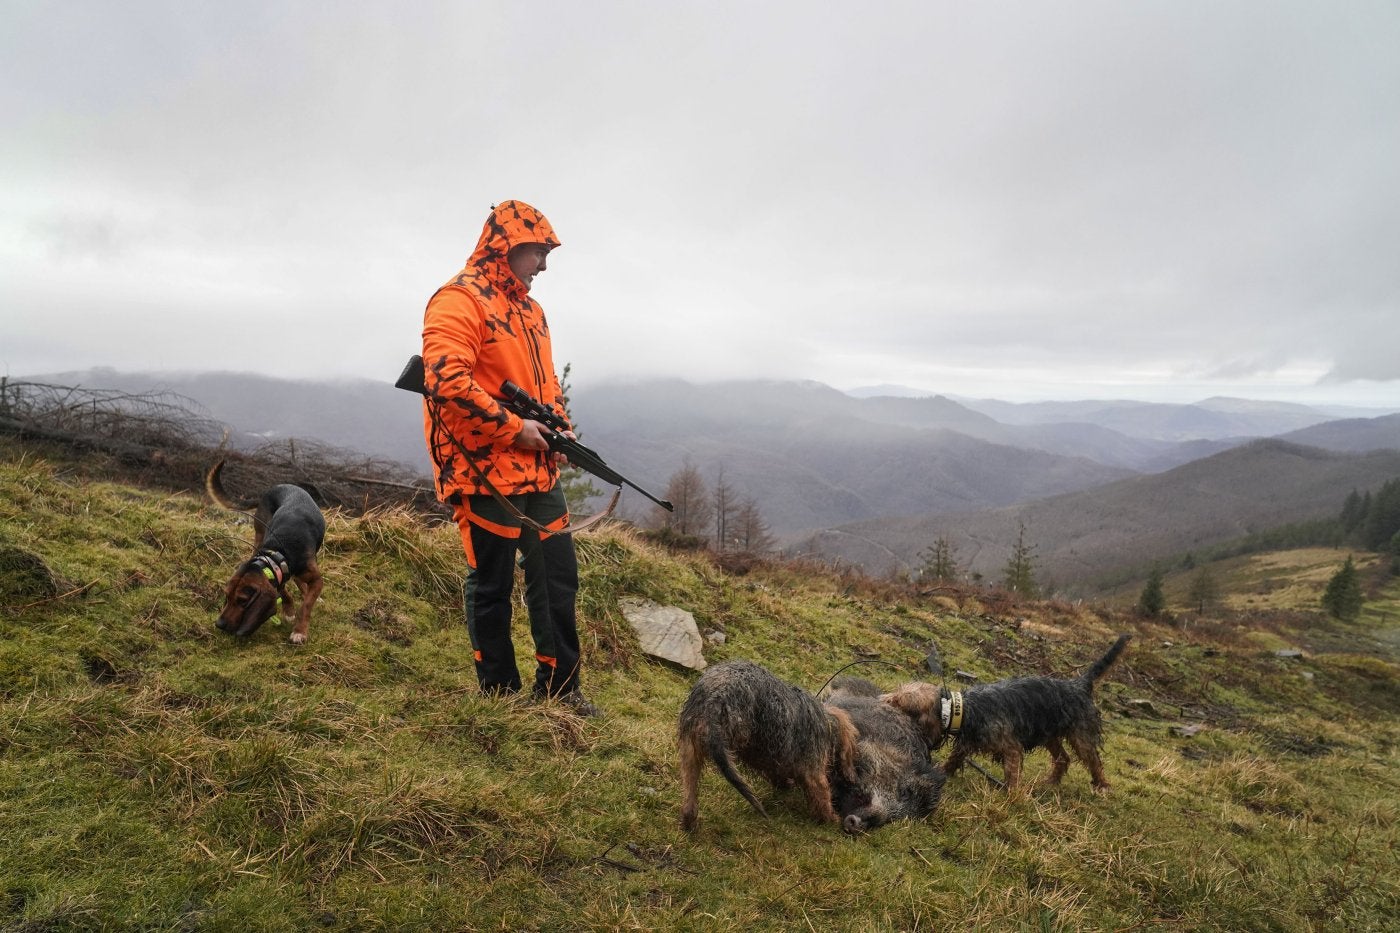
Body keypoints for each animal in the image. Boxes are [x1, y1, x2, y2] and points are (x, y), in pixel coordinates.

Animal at [680, 652, 862, 829]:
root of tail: (715, 699)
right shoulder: (814, 773)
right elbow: (822, 796)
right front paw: (830, 818)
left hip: (690, 751)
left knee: (690, 796)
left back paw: (689, 821)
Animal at [884, 633, 1136, 790]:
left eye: (898, 701)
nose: (881, 701)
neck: (961, 710)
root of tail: (1079, 684)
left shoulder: (1011, 748)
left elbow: (1012, 774)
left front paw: (1013, 797)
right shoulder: (966, 744)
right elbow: (954, 760)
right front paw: (943, 772)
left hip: (1081, 736)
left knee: (1094, 761)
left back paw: (1102, 785)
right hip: (1050, 735)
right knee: (1063, 759)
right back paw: (1051, 782)